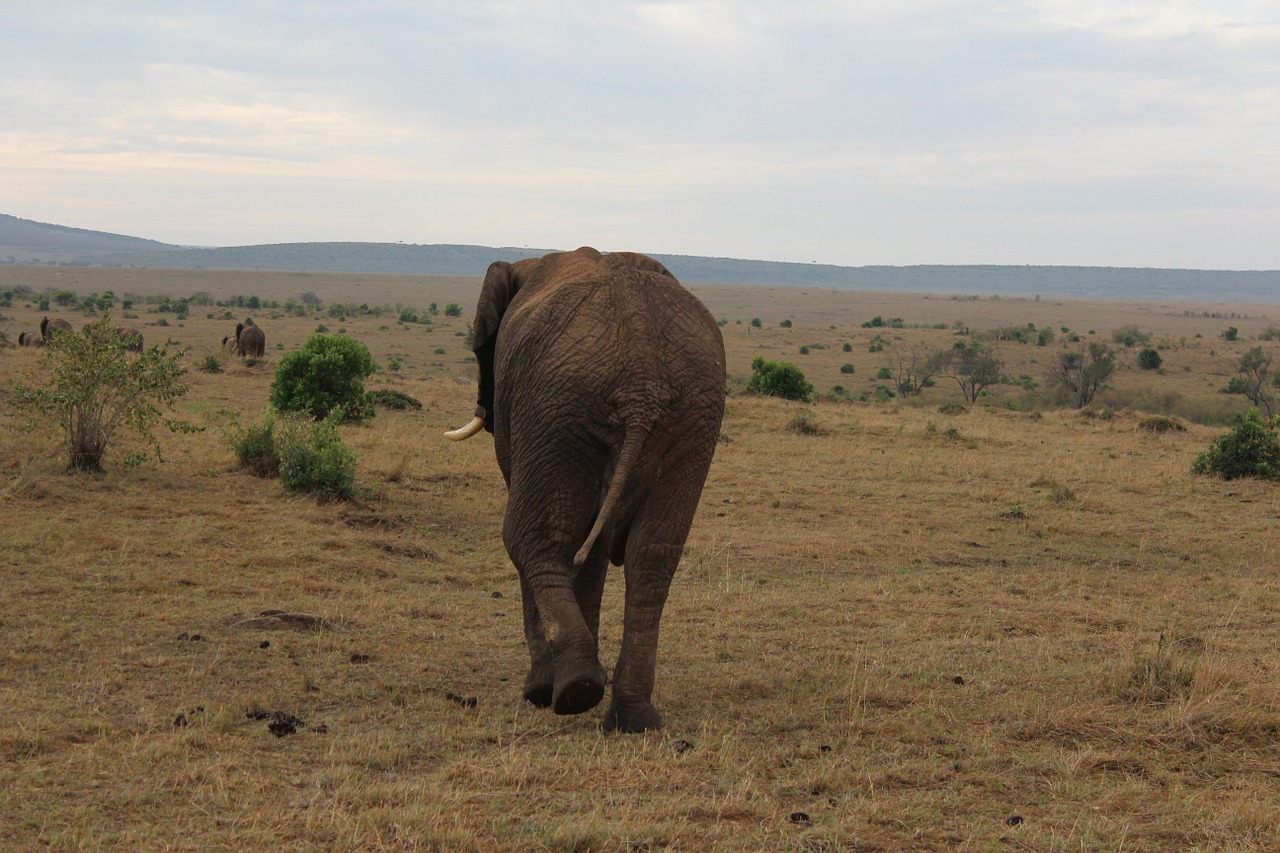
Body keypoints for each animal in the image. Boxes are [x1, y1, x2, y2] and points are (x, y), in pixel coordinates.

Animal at [445, 245, 727, 732]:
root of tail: (642, 383)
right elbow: (597, 552)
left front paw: (542, 690)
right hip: (693, 417)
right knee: (652, 556)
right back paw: (631, 718)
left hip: (557, 406)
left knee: (534, 540)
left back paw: (572, 689)